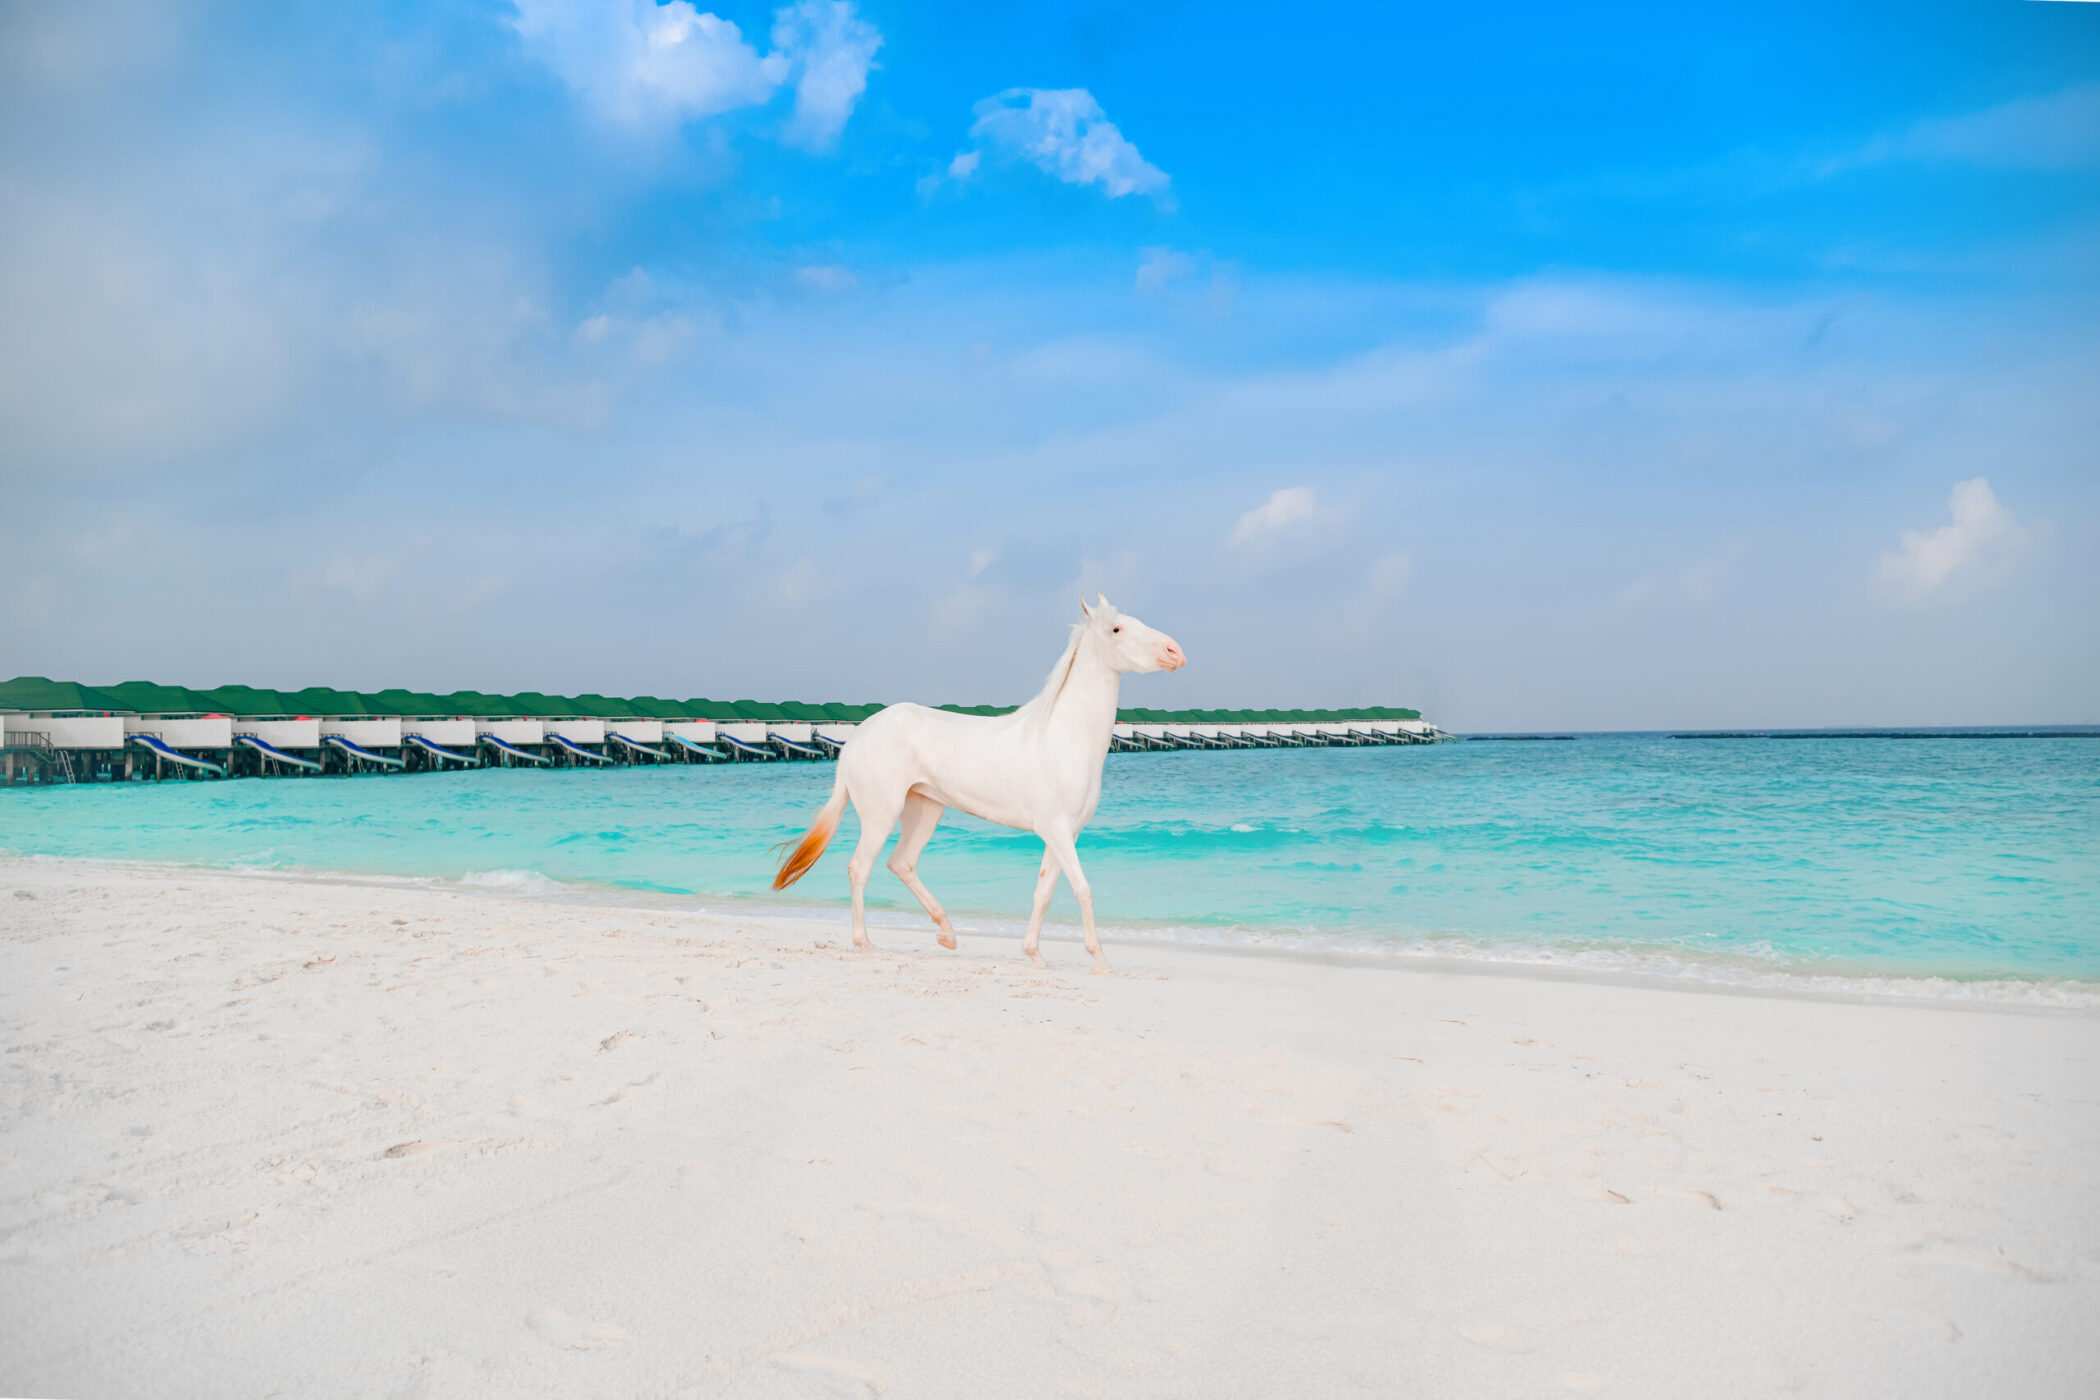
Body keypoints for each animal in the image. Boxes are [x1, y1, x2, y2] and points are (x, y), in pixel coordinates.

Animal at [772, 594, 1186, 974]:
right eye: (1116, 629)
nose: (1175, 652)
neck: (1062, 736)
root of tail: (855, 739)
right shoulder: (1056, 830)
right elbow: (1083, 889)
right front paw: (1099, 960)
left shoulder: (1064, 833)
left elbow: (1044, 892)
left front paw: (1034, 955)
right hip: (881, 814)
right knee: (860, 868)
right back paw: (867, 943)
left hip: (926, 810)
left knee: (901, 863)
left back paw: (947, 934)